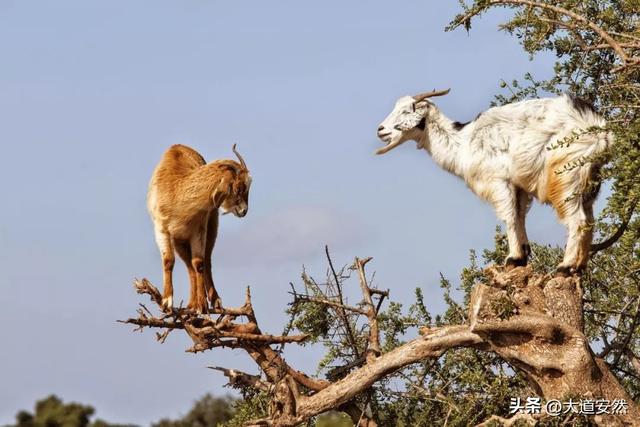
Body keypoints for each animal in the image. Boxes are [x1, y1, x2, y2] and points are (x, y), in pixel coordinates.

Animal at [148, 144, 252, 314]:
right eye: (239, 187)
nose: (244, 211)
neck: (176, 190)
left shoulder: (199, 229)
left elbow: (199, 263)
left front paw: (202, 305)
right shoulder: (161, 229)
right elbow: (169, 260)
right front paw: (167, 301)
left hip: (211, 228)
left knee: (206, 260)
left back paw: (214, 300)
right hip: (179, 240)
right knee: (189, 267)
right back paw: (191, 303)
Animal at [378, 90, 612, 278]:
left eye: (406, 111)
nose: (380, 130)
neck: (464, 143)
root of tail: (600, 129)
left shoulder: (498, 180)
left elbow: (509, 216)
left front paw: (513, 258)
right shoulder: (518, 186)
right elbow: (519, 215)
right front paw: (522, 256)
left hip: (566, 177)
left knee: (578, 220)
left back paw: (565, 267)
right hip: (588, 182)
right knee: (589, 220)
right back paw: (579, 267)